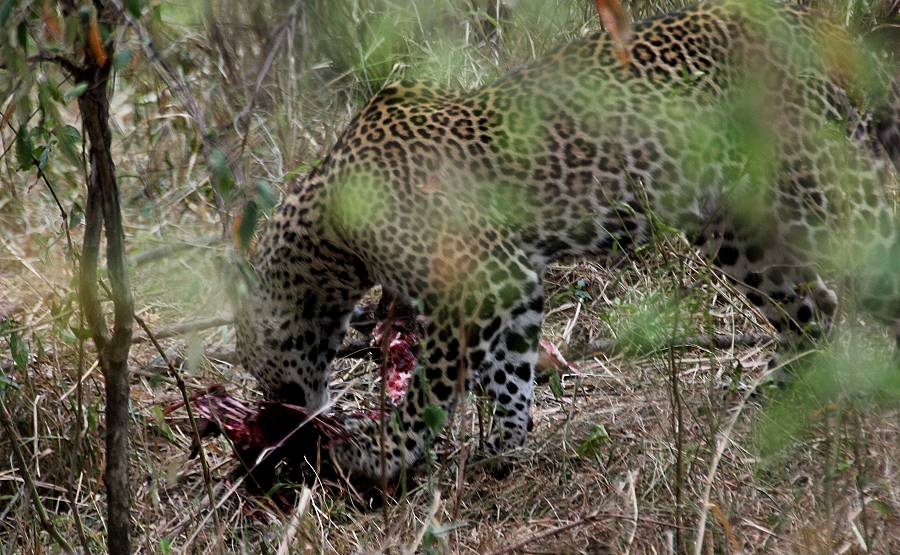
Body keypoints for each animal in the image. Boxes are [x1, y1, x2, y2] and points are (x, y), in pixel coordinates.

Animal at [227, 0, 900, 484]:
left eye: (261, 367)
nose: (276, 418)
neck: (329, 239)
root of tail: (816, 26)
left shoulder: (469, 285)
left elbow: (430, 386)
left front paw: (385, 454)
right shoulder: (511, 280)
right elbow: (509, 369)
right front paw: (505, 447)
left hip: (822, 186)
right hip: (737, 227)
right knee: (813, 306)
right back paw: (771, 395)